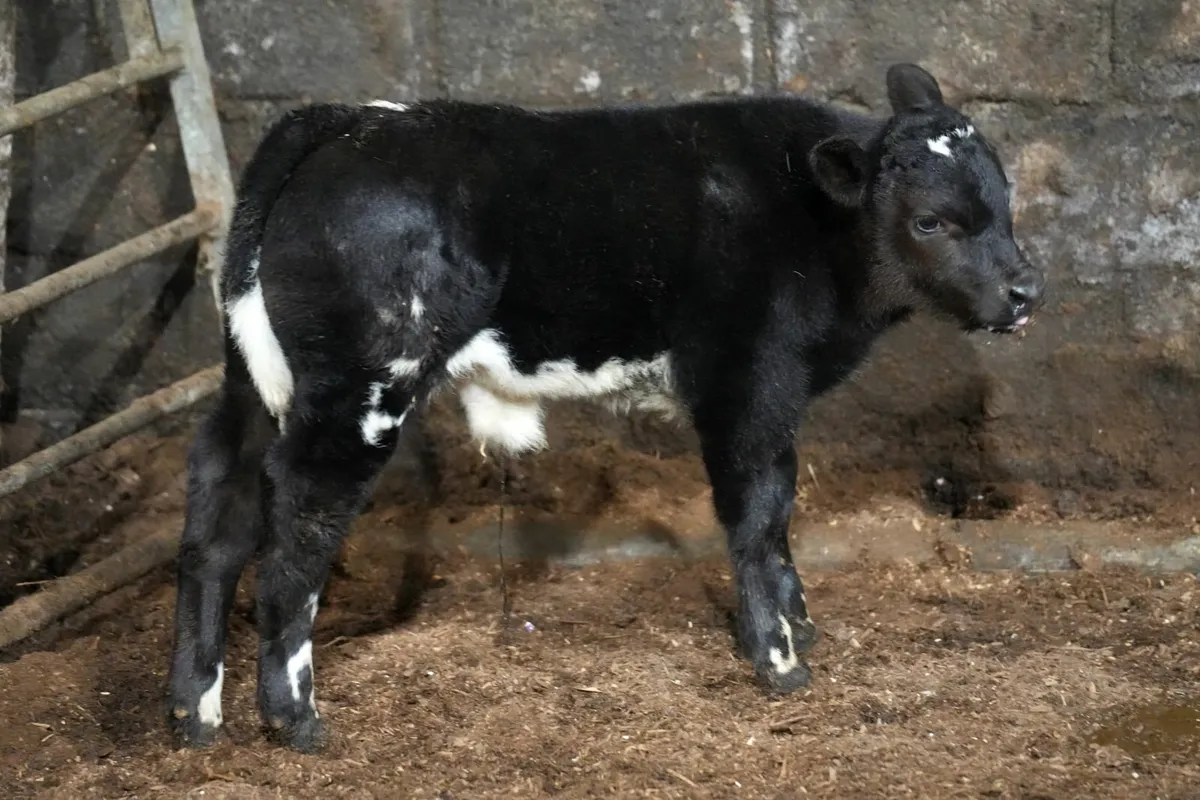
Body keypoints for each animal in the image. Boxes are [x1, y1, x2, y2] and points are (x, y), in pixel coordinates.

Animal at [165, 63, 1045, 752]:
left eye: (1004, 202)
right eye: (931, 221)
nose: (1025, 292)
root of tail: (346, 119)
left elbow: (779, 520)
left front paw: (802, 627)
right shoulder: (745, 383)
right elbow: (760, 513)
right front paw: (781, 659)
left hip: (255, 382)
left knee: (217, 512)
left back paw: (193, 714)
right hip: (366, 387)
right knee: (299, 526)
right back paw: (294, 717)